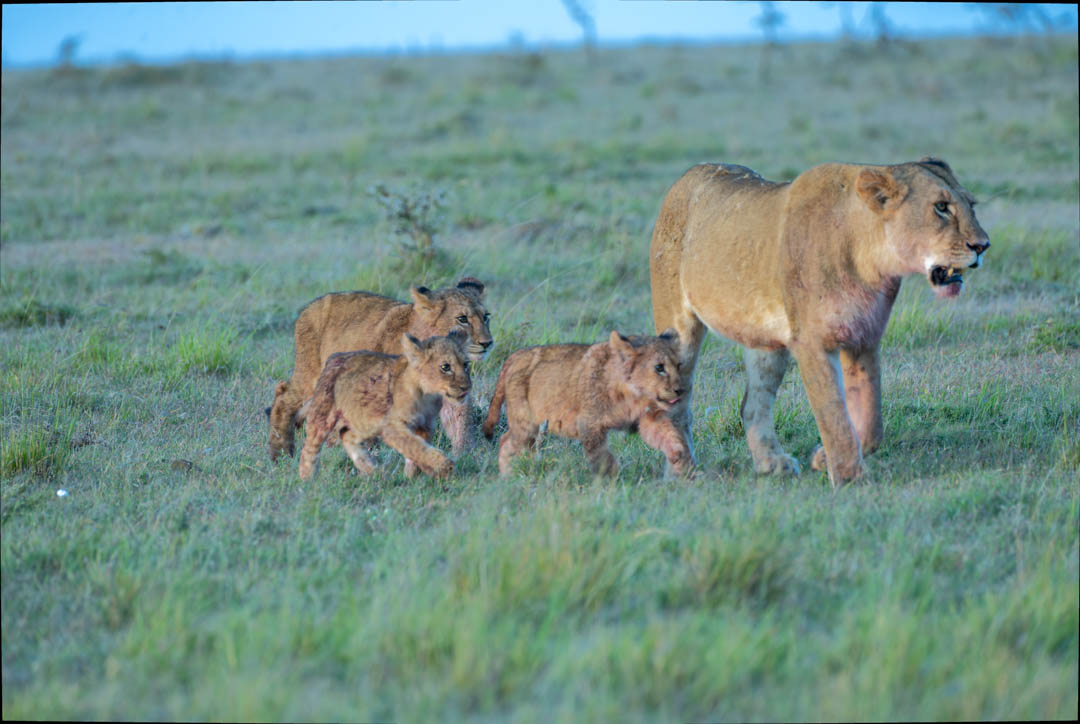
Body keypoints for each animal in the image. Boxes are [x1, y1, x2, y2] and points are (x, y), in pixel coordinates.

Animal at [269, 277, 492, 463]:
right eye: (462, 319)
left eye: (486, 317)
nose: (487, 343)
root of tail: (308, 308)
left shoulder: (453, 390)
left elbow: (460, 423)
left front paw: (466, 454)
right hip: (311, 374)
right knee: (283, 393)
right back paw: (280, 452)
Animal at [298, 331, 471, 481]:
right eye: (445, 367)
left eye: (465, 364)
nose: (466, 387)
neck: (427, 394)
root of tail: (334, 357)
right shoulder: (391, 426)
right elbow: (414, 446)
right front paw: (444, 467)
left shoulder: (425, 425)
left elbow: (417, 451)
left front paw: (412, 477)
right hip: (323, 414)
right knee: (309, 448)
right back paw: (307, 480)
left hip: (364, 422)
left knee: (347, 436)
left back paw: (374, 471)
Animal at [482, 330, 692, 477]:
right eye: (659, 368)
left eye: (678, 365)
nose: (680, 390)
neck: (633, 396)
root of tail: (515, 355)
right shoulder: (590, 423)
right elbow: (601, 457)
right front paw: (611, 481)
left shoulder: (649, 418)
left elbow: (669, 436)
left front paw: (680, 460)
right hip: (525, 423)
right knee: (506, 441)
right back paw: (508, 477)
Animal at [649, 157, 990, 485]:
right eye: (941, 207)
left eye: (971, 205)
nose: (982, 245)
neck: (871, 260)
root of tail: (687, 175)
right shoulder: (812, 343)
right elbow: (834, 414)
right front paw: (850, 478)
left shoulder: (864, 337)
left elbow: (870, 423)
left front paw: (823, 459)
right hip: (678, 331)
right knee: (676, 404)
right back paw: (681, 473)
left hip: (767, 344)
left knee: (752, 404)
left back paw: (772, 464)